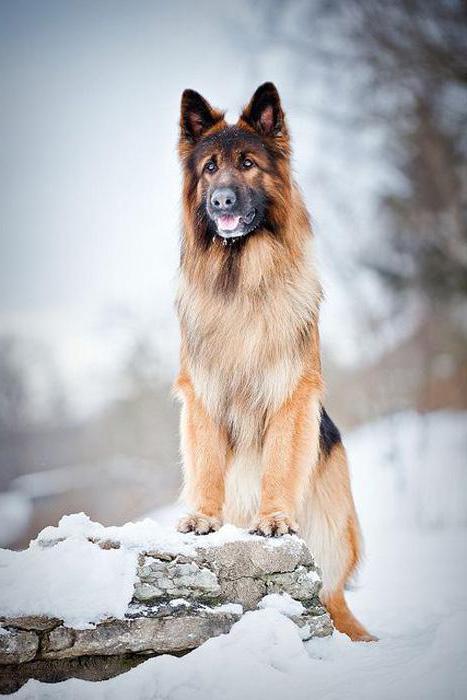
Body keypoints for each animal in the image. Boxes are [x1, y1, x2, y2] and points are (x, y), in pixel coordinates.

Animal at [175, 80, 376, 640]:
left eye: (247, 164)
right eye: (210, 169)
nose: (221, 198)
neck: (241, 279)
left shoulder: (290, 393)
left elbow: (280, 463)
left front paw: (275, 517)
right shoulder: (203, 394)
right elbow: (207, 464)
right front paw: (203, 515)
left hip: (332, 530)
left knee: (330, 598)